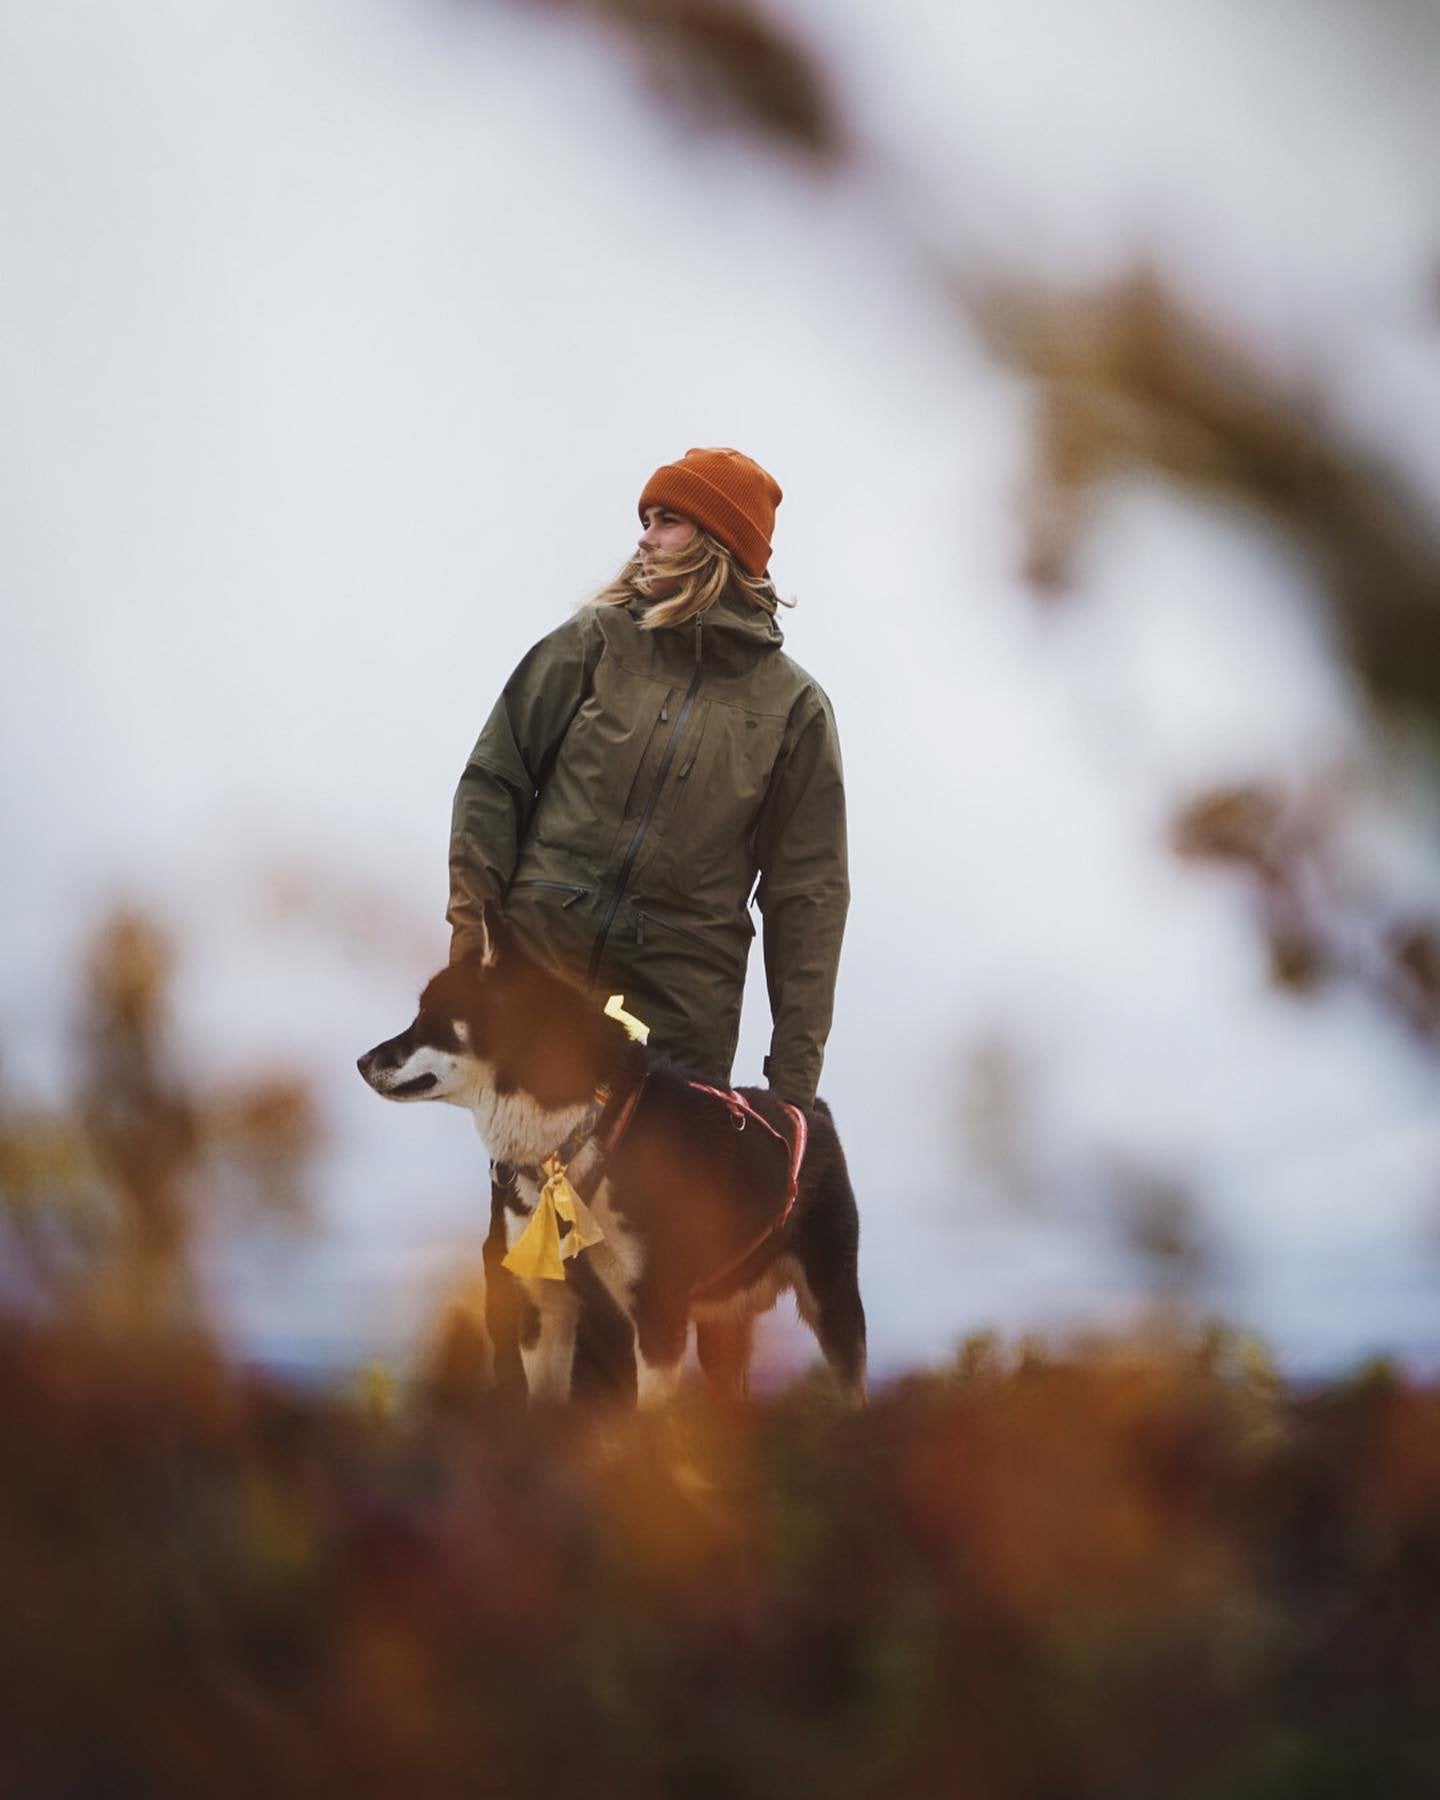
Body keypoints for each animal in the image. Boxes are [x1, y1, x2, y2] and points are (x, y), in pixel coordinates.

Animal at [356, 900, 867, 1404]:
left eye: (430, 1015)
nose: (361, 1061)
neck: (579, 1141)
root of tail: (812, 1111)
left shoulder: (658, 1316)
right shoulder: (544, 1308)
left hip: (832, 1303)